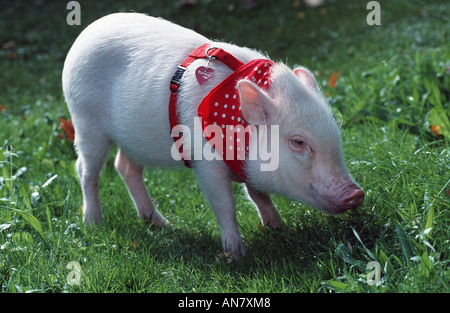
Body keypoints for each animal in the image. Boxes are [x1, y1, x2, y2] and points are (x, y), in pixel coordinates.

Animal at [63, 12, 364, 256]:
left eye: (335, 133)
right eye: (298, 142)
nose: (356, 194)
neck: (239, 124)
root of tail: (86, 33)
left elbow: (258, 194)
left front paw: (277, 227)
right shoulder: (205, 161)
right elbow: (224, 205)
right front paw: (237, 254)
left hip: (132, 140)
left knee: (125, 167)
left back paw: (161, 224)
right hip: (86, 120)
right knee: (85, 170)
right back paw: (94, 223)